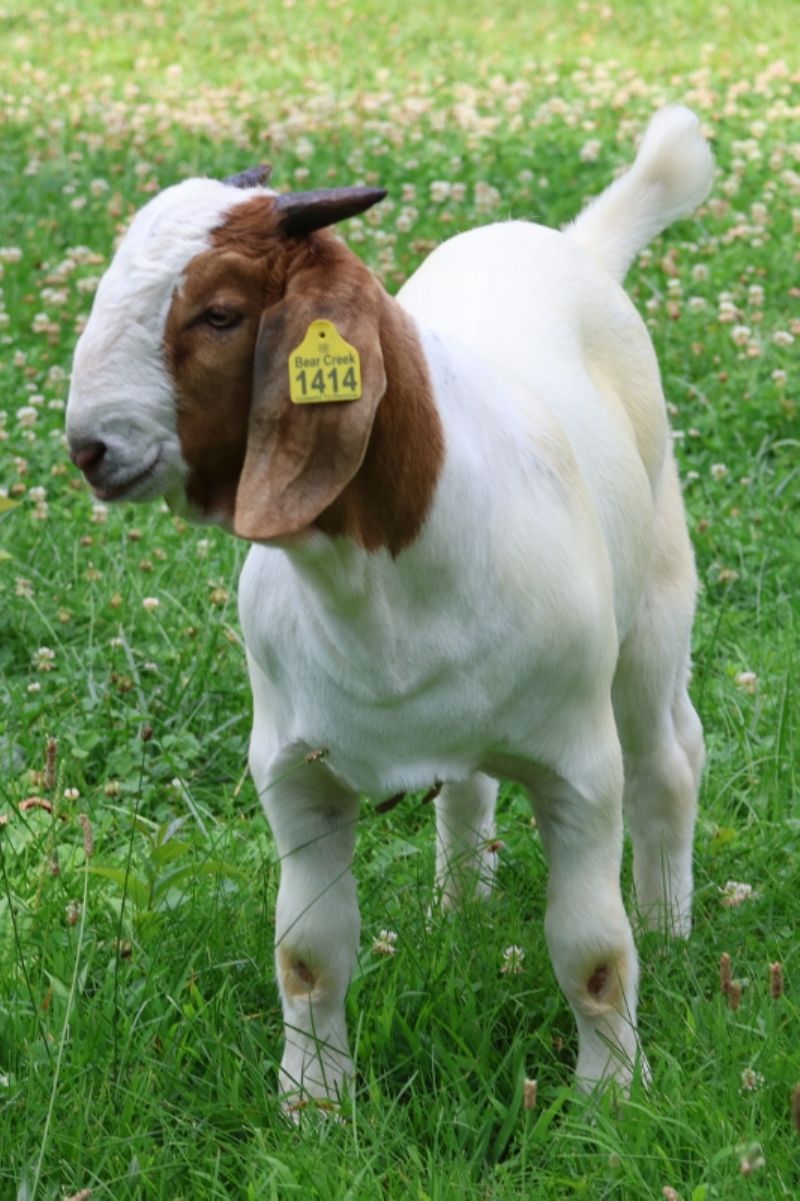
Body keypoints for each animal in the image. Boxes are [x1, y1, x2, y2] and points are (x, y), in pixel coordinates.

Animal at [66, 106, 713, 1105]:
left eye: (219, 313)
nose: (88, 446)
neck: (377, 586)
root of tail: (575, 246)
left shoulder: (579, 766)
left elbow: (595, 954)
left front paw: (609, 1097)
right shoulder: (294, 774)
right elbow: (308, 956)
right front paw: (313, 1104)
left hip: (654, 608)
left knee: (669, 763)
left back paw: (670, 926)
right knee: (470, 790)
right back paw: (460, 915)